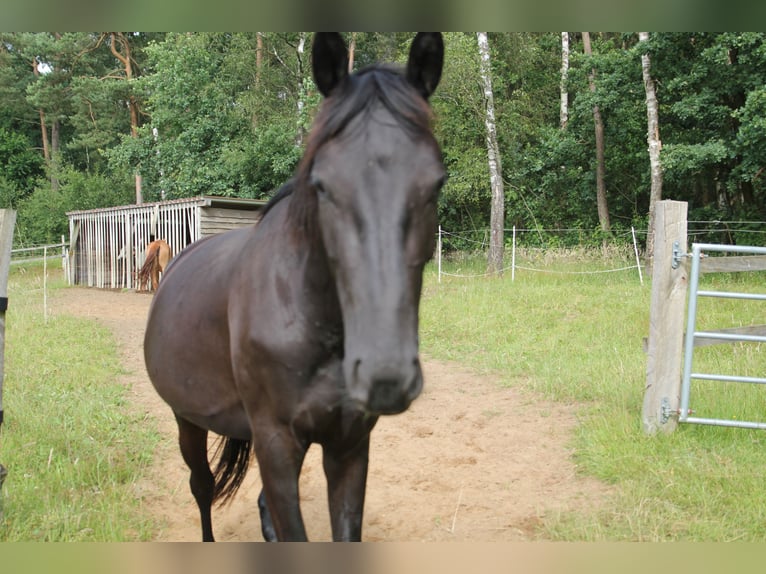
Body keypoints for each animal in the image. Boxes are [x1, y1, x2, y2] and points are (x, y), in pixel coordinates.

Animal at [145, 32, 448, 544]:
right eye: (322, 185)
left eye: (437, 183)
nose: (385, 375)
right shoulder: (276, 444)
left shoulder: (349, 445)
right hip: (187, 419)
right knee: (202, 487)